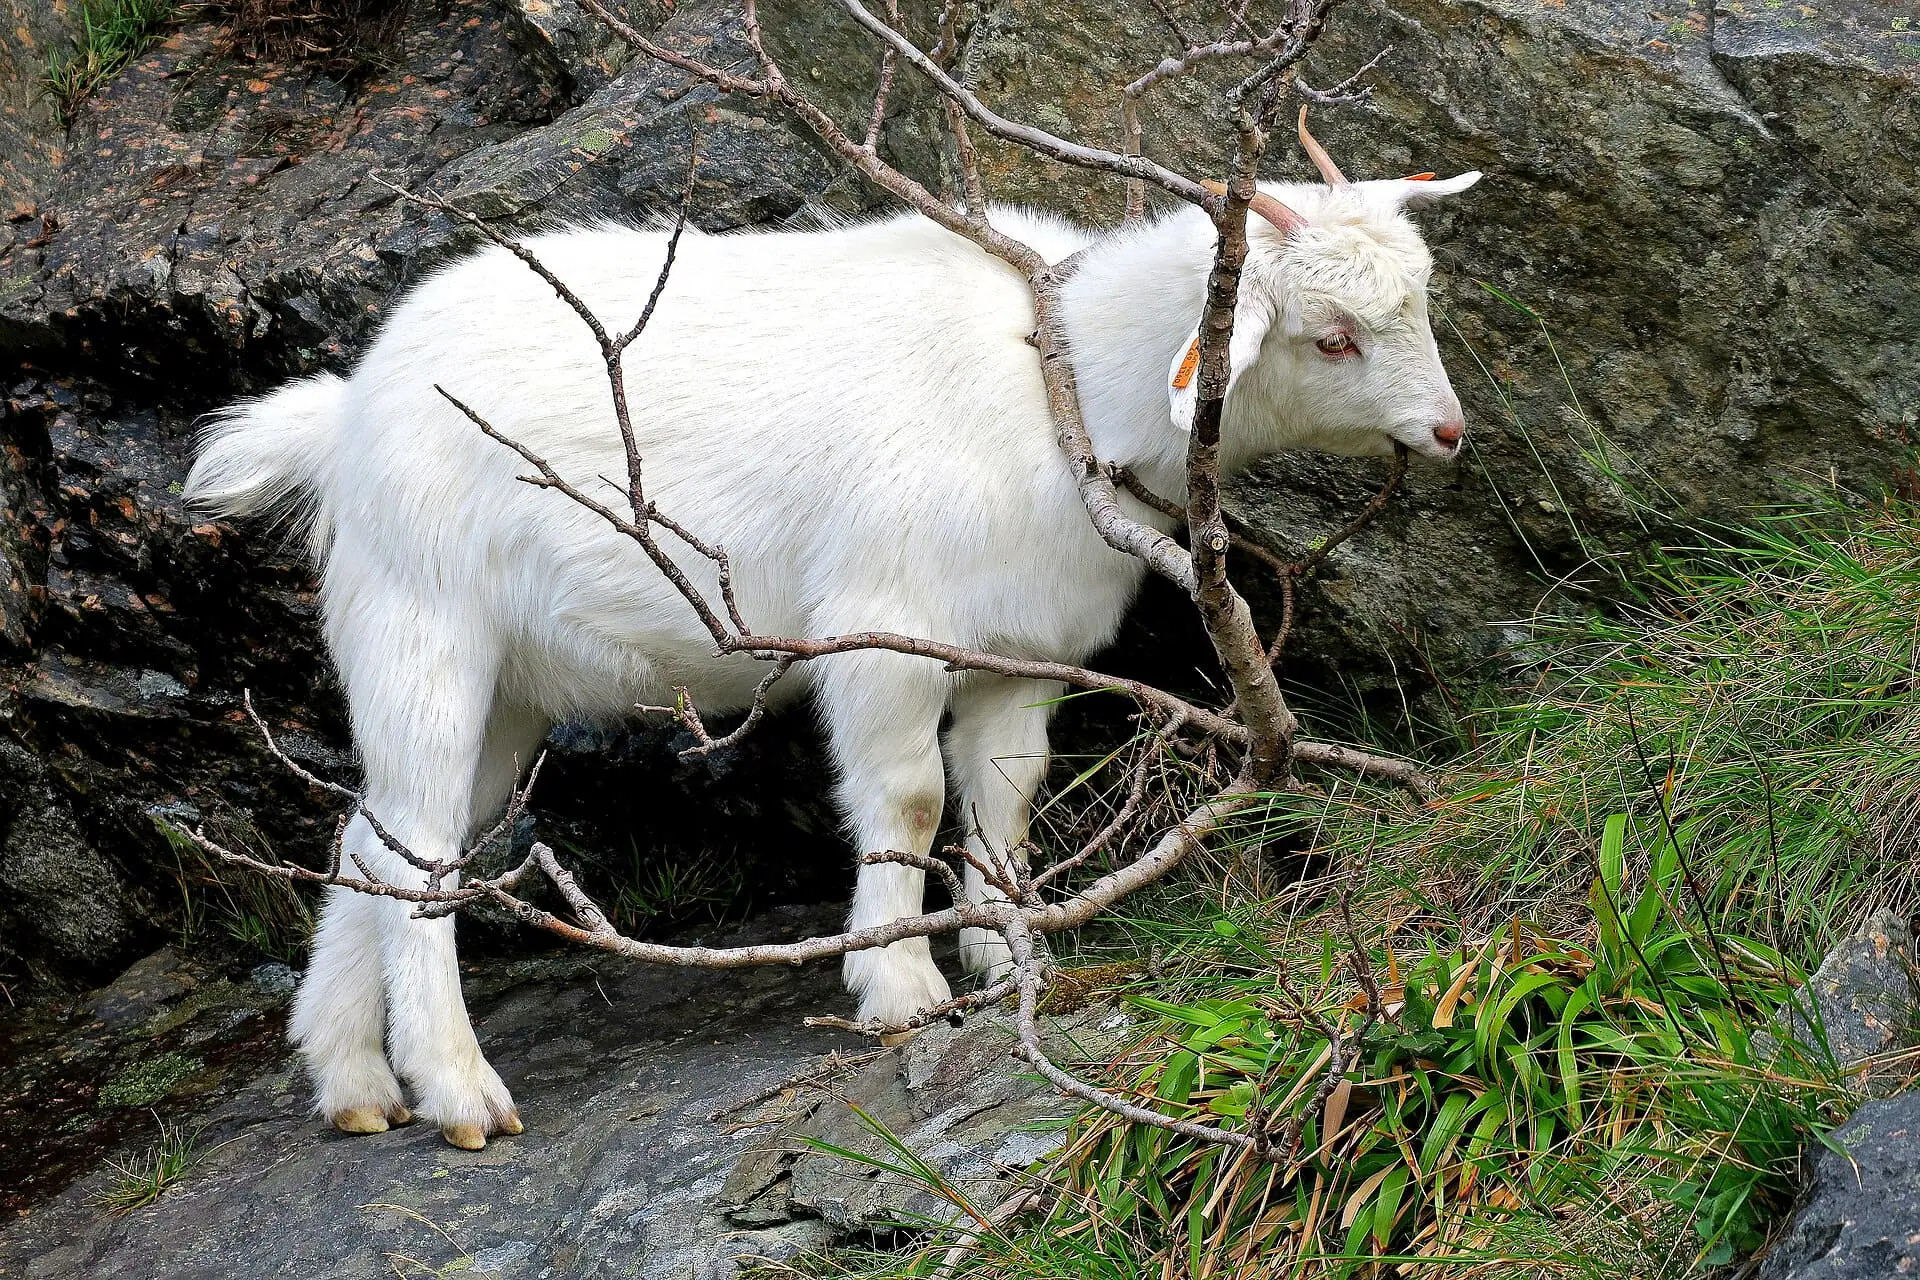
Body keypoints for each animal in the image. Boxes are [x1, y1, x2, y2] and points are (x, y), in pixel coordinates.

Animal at [185, 136, 1480, 1149]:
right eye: (1330, 337)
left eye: (1418, 302)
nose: (1449, 431)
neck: (1053, 381)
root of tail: (345, 415)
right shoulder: (884, 623)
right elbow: (907, 796)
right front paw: (899, 980)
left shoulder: (1020, 650)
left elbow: (1004, 796)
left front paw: (1009, 957)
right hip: (424, 621)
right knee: (412, 857)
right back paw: (458, 1090)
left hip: (498, 684)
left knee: (383, 831)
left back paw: (352, 1076)